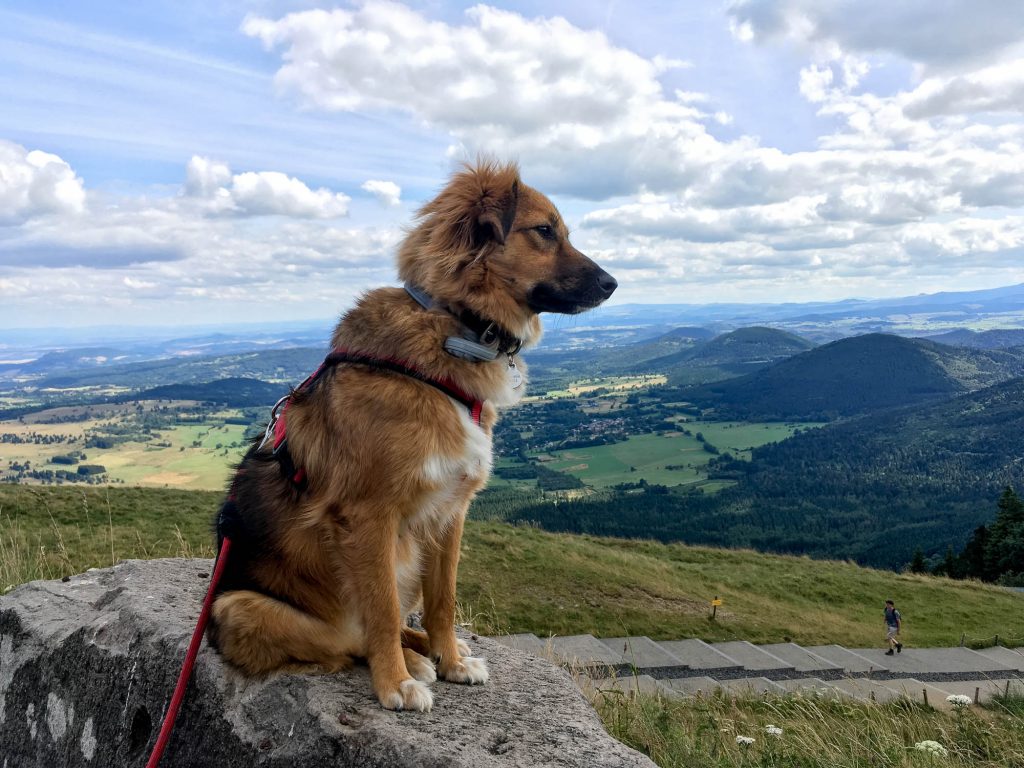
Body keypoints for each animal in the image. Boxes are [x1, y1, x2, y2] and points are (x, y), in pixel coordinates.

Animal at [207, 159, 614, 712]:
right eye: (545, 231)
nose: (613, 284)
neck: (455, 327)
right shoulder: (369, 516)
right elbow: (379, 610)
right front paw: (395, 682)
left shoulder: (450, 511)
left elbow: (443, 600)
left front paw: (453, 660)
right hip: (237, 608)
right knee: (350, 637)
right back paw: (410, 662)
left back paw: (426, 649)